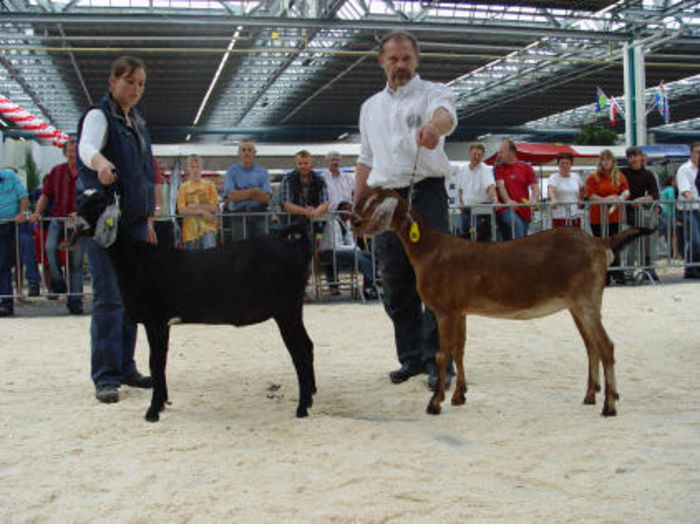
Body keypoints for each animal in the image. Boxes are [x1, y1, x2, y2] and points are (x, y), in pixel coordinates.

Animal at [67, 192, 314, 422]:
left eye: (99, 204)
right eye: (79, 201)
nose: (76, 224)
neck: (138, 259)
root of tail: (296, 244)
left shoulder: (155, 320)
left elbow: (155, 363)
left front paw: (152, 411)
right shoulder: (163, 323)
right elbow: (162, 361)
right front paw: (162, 402)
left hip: (286, 310)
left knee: (300, 351)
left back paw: (302, 408)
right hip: (294, 309)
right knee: (308, 346)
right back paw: (311, 395)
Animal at [352, 188, 652, 418]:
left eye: (373, 202)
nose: (353, 222)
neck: (430, 251)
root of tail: (600, 243)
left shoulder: (445, 311)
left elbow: (442, 354)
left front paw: (435, 403)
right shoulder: (461, 311)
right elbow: (460, 351)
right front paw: (459, 396)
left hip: (586, 300)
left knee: (606, 346)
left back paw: (609, 406)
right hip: (580, 305)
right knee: (592, 346)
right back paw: (591, 396)